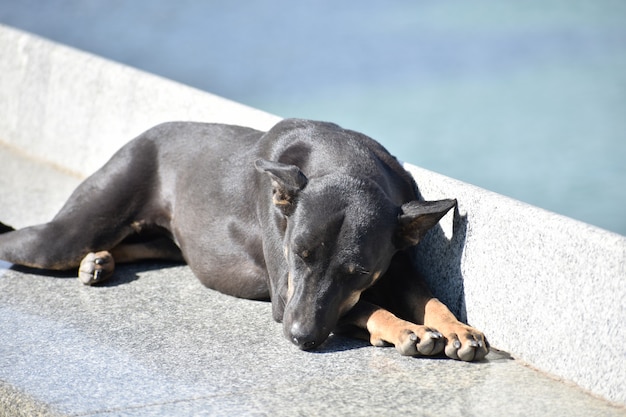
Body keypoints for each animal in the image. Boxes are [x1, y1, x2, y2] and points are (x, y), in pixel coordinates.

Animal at [0, 118, 488, 360]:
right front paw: (406, 328)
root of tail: (141, 135)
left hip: (166, 241)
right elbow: (367, 306)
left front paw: (457, 329)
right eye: (298, 253)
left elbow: (427, 297)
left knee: (129, 243)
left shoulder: (396, 256)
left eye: (359, 270)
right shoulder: (285, 294)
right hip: (67, 234)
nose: (300, 338)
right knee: (30, 241)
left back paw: (98, 261)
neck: (346, 163)